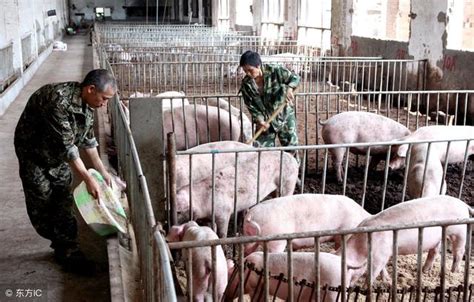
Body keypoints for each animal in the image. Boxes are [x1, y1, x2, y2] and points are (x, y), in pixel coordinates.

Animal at [344, 196, 474, 286]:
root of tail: (463, 204)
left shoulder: (381, 254)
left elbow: (373, 272)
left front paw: (366, 287)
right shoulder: (383, 255)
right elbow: (383, 268)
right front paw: (387, 280)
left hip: (460, 231)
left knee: (459, 251)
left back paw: (453, 272)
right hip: (439, 237)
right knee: (435, 251)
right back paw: (424, 270)